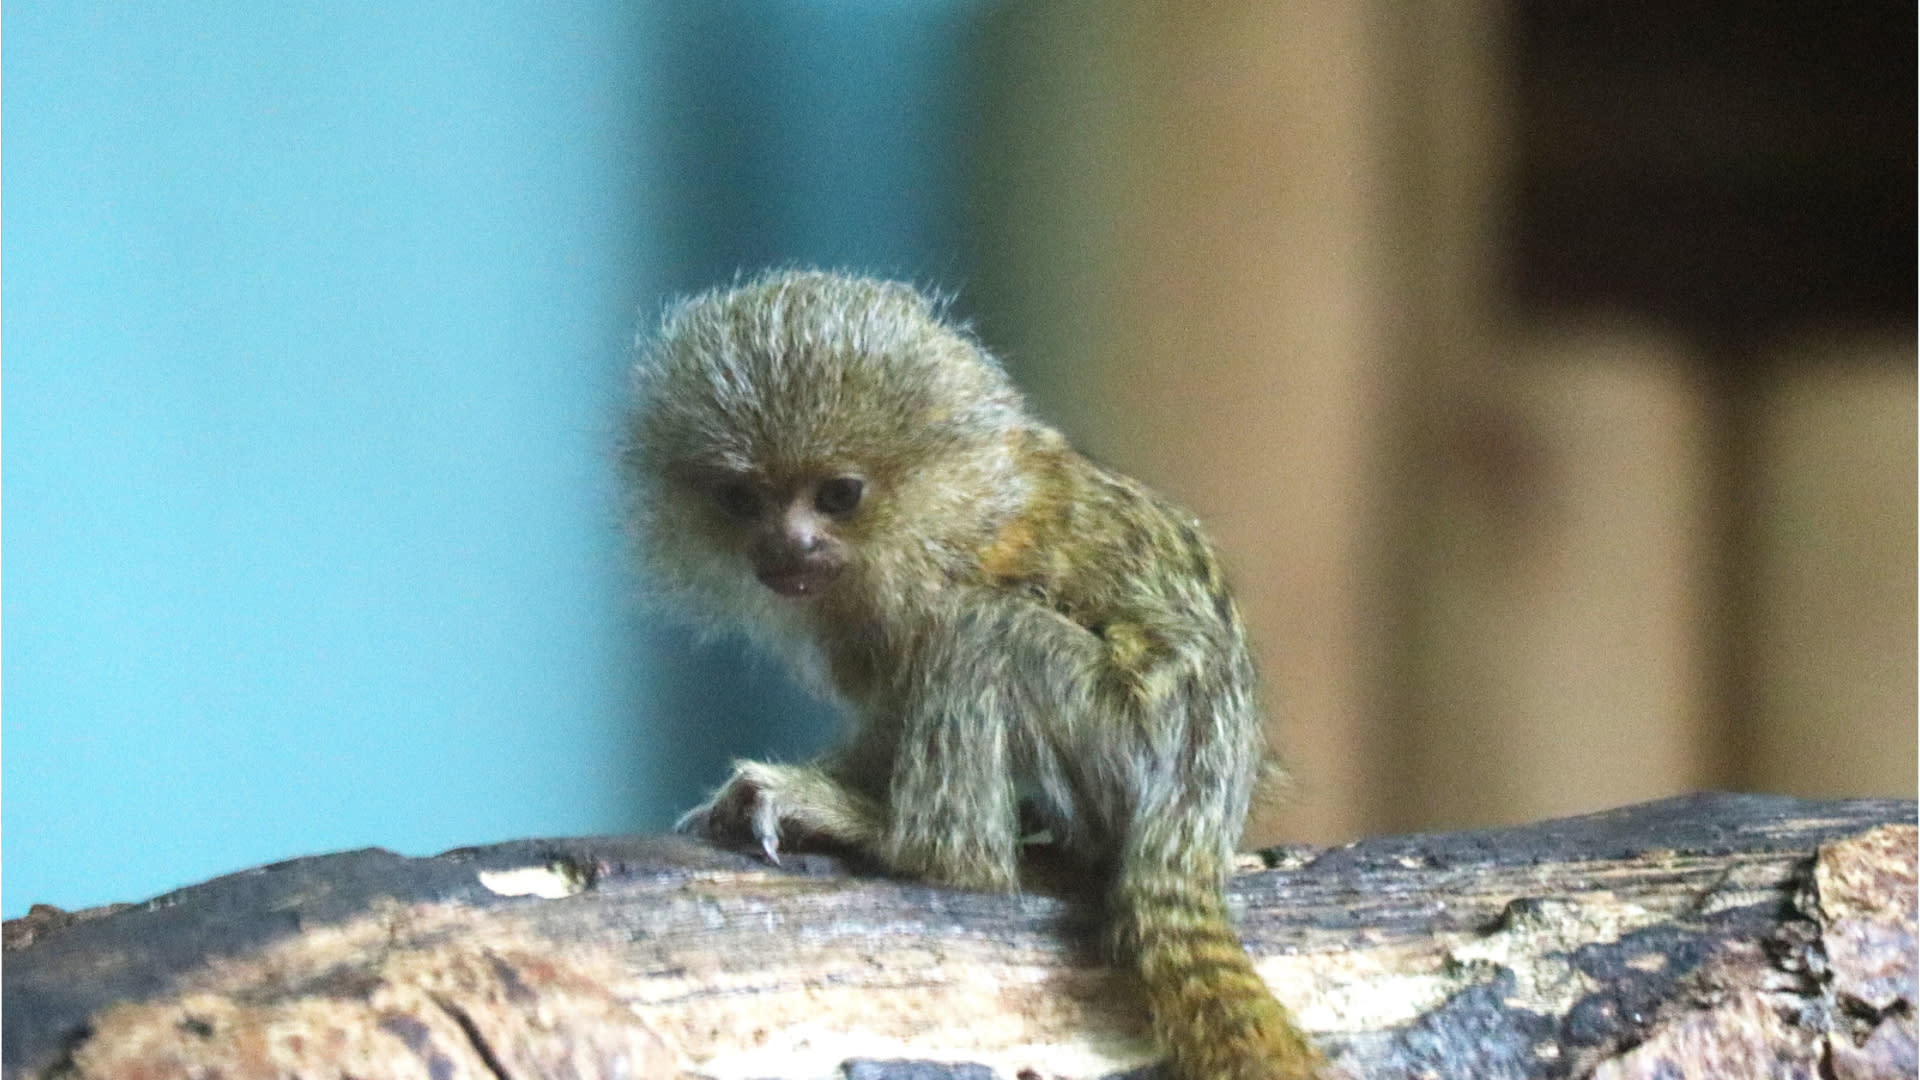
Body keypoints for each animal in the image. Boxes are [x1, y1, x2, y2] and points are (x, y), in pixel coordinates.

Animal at [622, 269, 1328, 1076]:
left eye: (838, 495)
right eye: (742, 499)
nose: (789, 544)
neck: (931, 515)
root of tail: (1198, 817)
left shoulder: (930, 585)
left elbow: (909, 695)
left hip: (1125, 731)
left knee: (982, 640)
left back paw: (906, 841)